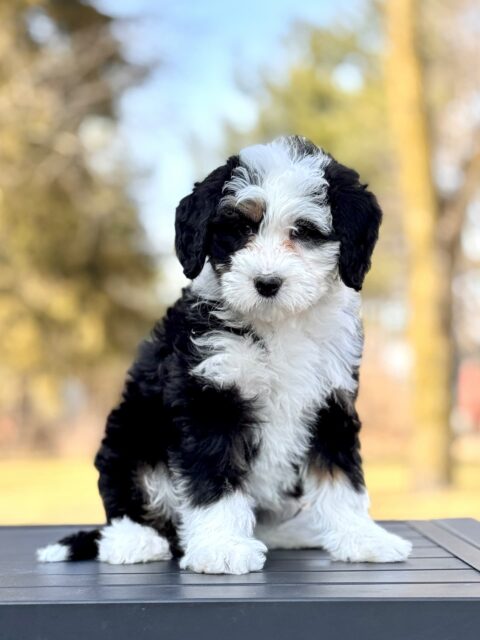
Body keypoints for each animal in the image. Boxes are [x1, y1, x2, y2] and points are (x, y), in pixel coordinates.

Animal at [38, 136, 412, 576]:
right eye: (241, 229)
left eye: (304, 232)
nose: (267, 283)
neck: (277, 322)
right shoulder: (209, 398)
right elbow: (213, 477)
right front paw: (221, 547)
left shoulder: (331, 404)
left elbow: (342, 479)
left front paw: (362, 537)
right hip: (132, 438)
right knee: (127, 504)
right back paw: (135, 541)